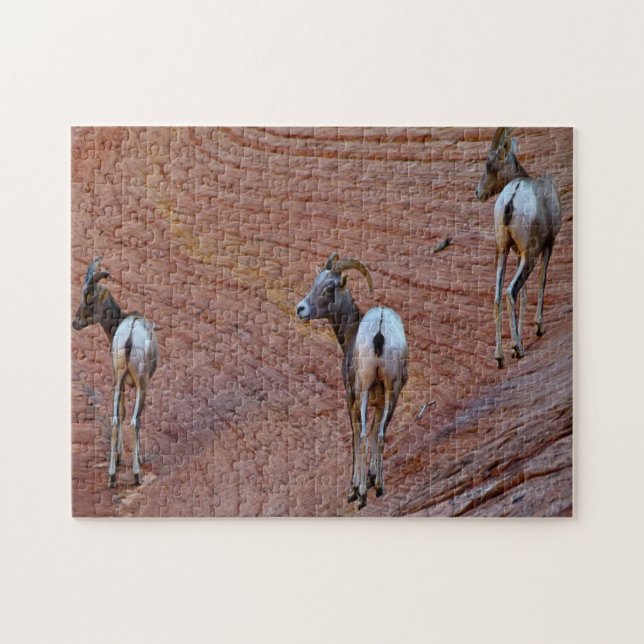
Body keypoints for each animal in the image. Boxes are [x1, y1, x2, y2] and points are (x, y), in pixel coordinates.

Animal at [72, 257, 159, 486]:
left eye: (90, 301)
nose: (75, 322)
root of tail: (130, 336)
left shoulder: (119, 381)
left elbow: (119, 414)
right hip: (141, 385)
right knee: (134, 421)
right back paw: (136, 475)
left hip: (118, 381)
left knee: (114, 420)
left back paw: (111, 476)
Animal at [296, 253, 409, 509]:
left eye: (329, 288)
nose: (300, 309)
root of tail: (380, 329)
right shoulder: (381, 400)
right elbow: (377, 430)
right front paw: (371, 478)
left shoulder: (351, 396)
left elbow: (356, 435)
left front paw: (354, 488)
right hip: (393, 391)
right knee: (380, 434)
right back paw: (379, 487)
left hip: (364, 389)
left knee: (364, 435)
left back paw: (362, 496)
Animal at [475, 128, 562, 367]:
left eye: (491, 164)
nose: (478, 192)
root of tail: (512, 198)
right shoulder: (547, 246)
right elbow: (541, 281)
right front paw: (538, 328)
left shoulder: (516, 253)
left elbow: (524, 295)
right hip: (530, 255)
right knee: (510, 291)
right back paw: (516, 348)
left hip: (502, 251)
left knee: (498, 296)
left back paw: (500, 356)